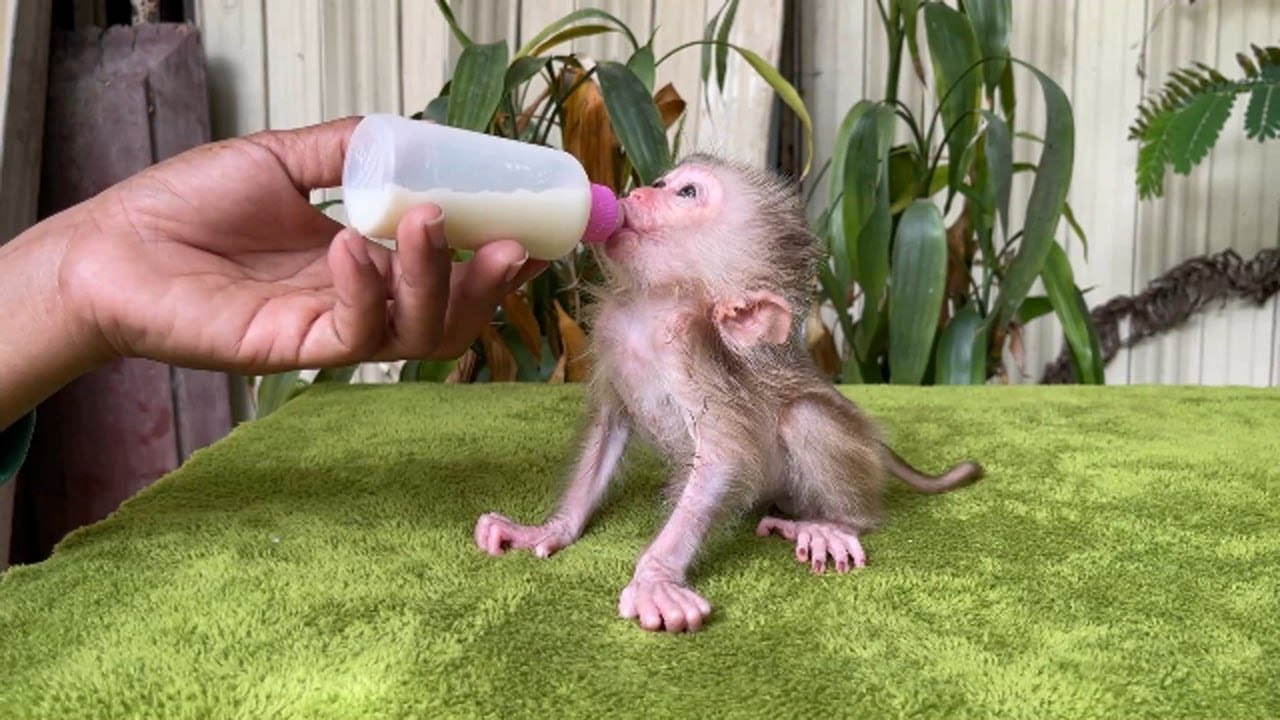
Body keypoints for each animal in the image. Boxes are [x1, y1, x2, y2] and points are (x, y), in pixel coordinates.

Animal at [474, 154, 983, 633]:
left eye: (687, 193)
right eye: (662, 183)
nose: (635, 193)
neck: (649, 309)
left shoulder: (693, 354)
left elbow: (723, 460)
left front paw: (655, 578)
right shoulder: (612, 335)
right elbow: (608, 427)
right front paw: (549, 530)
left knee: (805, 416)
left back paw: (834, 525)